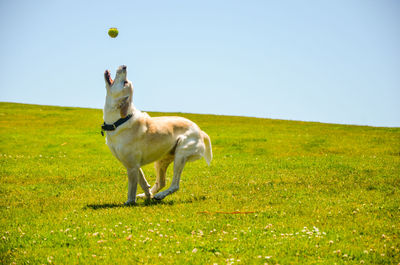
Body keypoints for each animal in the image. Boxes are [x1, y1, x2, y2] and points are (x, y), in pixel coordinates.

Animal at [101, 64, 212, 204]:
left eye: (125, 82)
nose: (125, 66)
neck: (119, 121)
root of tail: (200, 131)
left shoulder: (131, 166)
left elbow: (132, 187)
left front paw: (129, 202)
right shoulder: (134, 165)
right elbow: (143, 181)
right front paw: (147, 194)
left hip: (180, 155)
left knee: (175, 185)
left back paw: (160, 196)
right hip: (162, 161)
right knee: (161, 182)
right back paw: (147, 195)